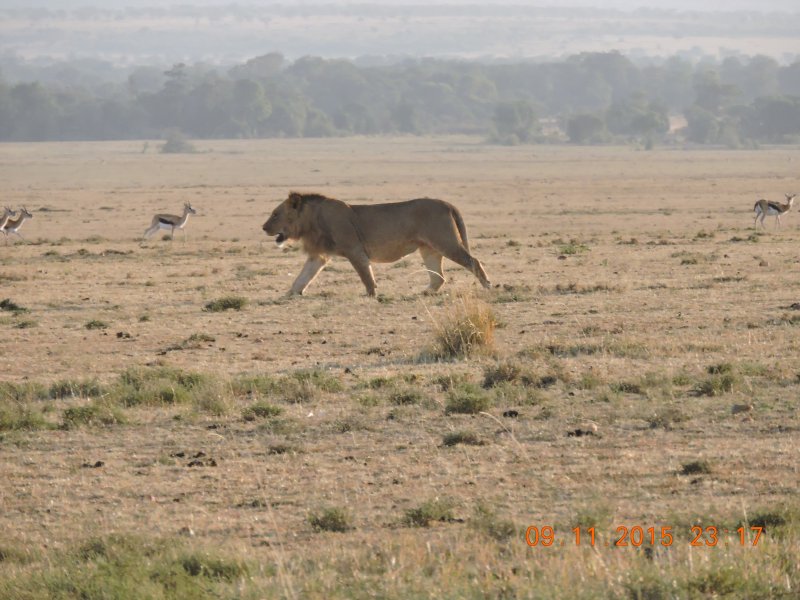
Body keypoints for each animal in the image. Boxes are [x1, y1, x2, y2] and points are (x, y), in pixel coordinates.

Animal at [262, 192, 491, 297]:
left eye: (275, 214)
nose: (263, 227)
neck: (311, 222)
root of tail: (447, 203)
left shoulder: (354, 249)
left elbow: (366, 275)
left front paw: (372, 295)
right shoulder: (318, 255)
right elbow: (302, 277)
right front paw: (289, 295)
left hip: (445, 241)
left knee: (474, 262)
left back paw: (488, 286)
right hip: (429, 249)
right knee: (439, 277)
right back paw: (424, 293)